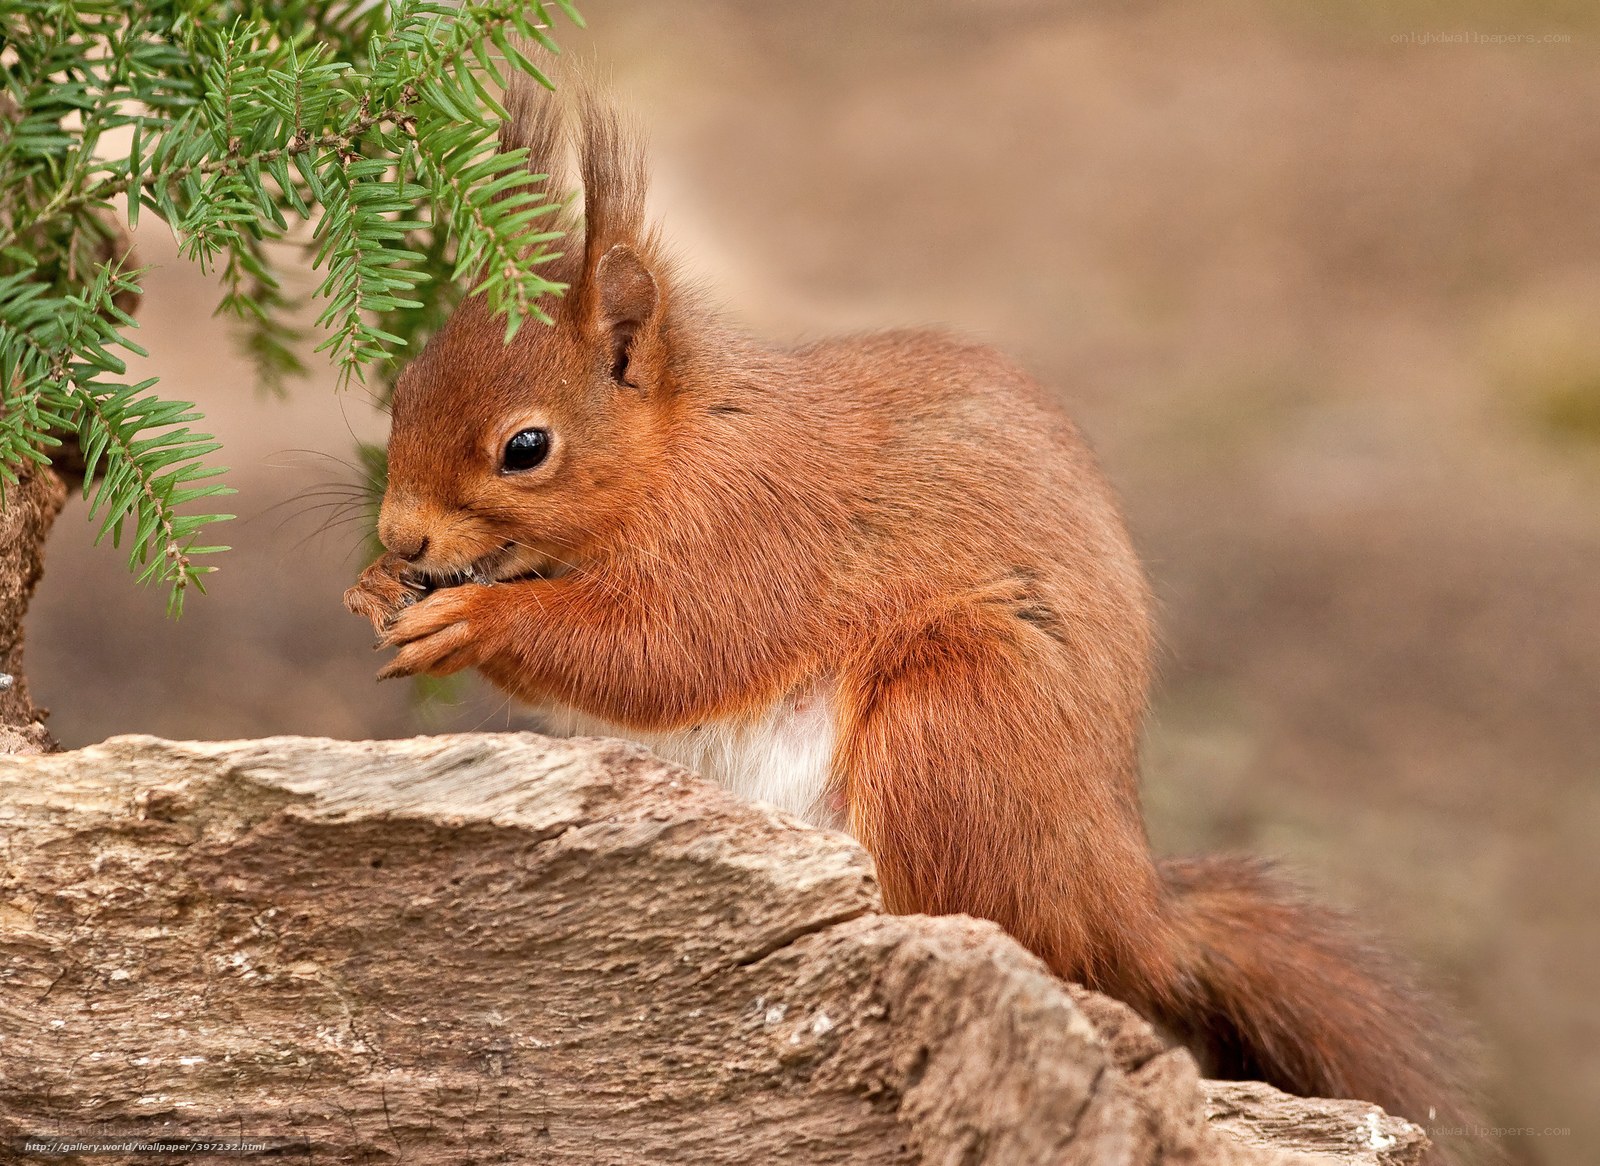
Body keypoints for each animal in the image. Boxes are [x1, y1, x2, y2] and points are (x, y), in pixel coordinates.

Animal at [345, 77, 1478, 1154]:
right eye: (402, 390)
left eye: (525, 447)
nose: (403, 535)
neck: (685, 444)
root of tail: (1123, 899)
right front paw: (371, 586)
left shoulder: (757, 534)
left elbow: (666, 652)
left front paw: (475, 622)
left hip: (954, 720)